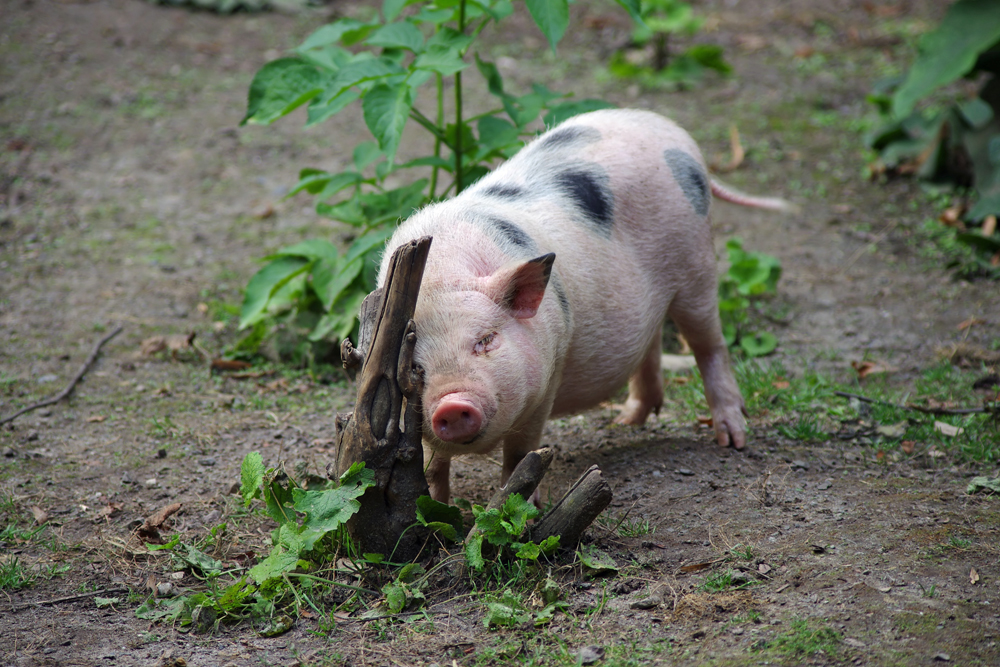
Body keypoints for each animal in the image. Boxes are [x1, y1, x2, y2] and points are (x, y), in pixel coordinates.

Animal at [376, 108, 788, 500]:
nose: (452, 404)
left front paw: (524, 506)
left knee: (709, 345)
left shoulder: (549, 373)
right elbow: (432, 465)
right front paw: (437, 510)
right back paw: (628, 420)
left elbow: (521, 452)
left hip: (697, 264)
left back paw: (732, 440)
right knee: (651, 339)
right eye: (415, 368)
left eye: (485, 340)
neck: (439, 277)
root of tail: (671, 131)